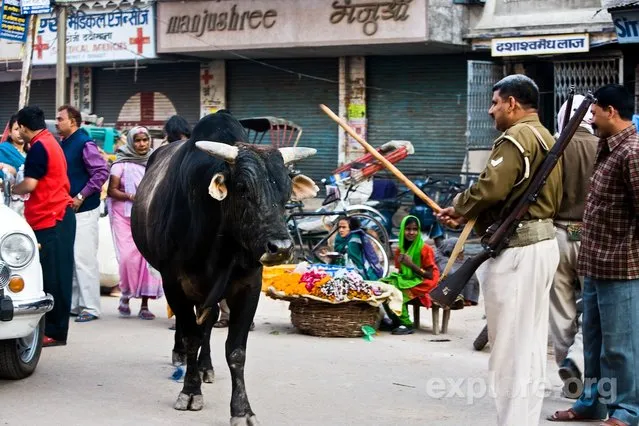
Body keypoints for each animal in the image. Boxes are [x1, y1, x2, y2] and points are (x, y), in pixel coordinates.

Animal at [131, 111, 320, 424]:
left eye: (286, 192)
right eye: (242, 189)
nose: (280, 247)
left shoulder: (248, 286)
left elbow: (235, 350)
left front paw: (242, 410)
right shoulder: (175, 283)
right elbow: (191, 335)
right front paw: (189, 392)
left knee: (208, 324)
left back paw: (205, 366)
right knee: (188, 329)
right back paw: (182, 356)